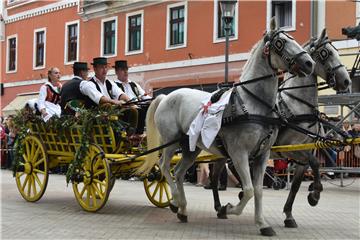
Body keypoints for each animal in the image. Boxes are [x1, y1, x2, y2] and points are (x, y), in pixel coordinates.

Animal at [139, 18, 316, 236]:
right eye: (280, 42)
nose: (309, 63)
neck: (253, 104)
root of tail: (165, 96)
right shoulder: (239, 153)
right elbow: (248, 190)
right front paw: (228, 208)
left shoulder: (262, 155)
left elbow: (257, 190)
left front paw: (262, 223)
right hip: (171, 142)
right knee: (165, 167)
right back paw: (175, 200)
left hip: (191, 148)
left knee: (179, 172)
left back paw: (182, 209)